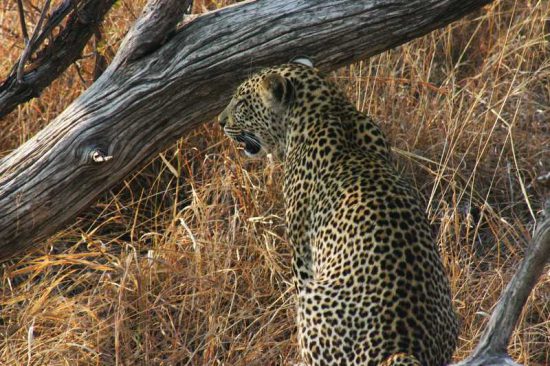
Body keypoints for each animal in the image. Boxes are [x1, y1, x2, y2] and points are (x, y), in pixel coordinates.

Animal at [218, 58, 460, 366]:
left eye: (241, 102)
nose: (220, 122)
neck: (329, 108)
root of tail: (405, 350)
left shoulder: (302, 253)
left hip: (314, 302)